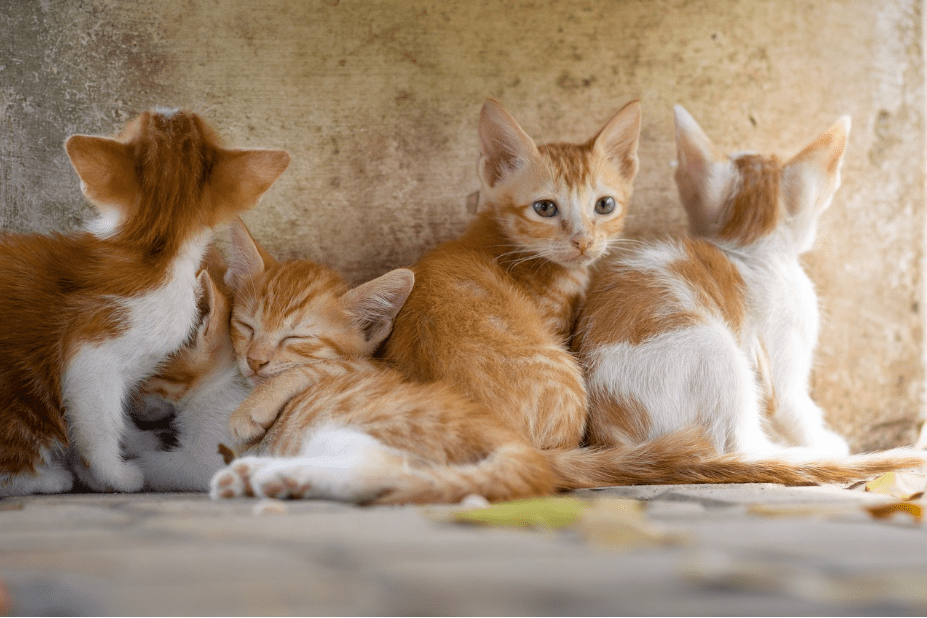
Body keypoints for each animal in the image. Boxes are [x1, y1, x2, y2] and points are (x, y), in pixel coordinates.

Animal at [0, 109, 288, 496]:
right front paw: (117, 475)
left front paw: (134, 443)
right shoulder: (93, 353)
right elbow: (99, 426)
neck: (154, 248)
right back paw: (47, 478)